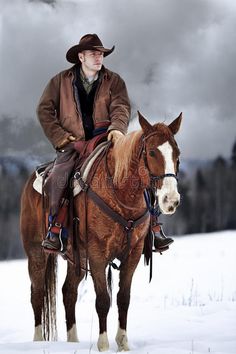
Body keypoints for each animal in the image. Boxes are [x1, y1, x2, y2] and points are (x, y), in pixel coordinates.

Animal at [20, 111, 183, 352]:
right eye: (152, 152)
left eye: (177, 154)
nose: (170, 200)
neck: (120, 193)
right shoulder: (97, 255)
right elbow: (103, 300)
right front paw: (103, 344)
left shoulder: (132, 254)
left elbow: (123, 298)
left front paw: (123, 343)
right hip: (36, 253)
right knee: (37, 294)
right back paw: (38, 341)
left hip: (76, 257)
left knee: (68, 292)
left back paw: (73, 340)